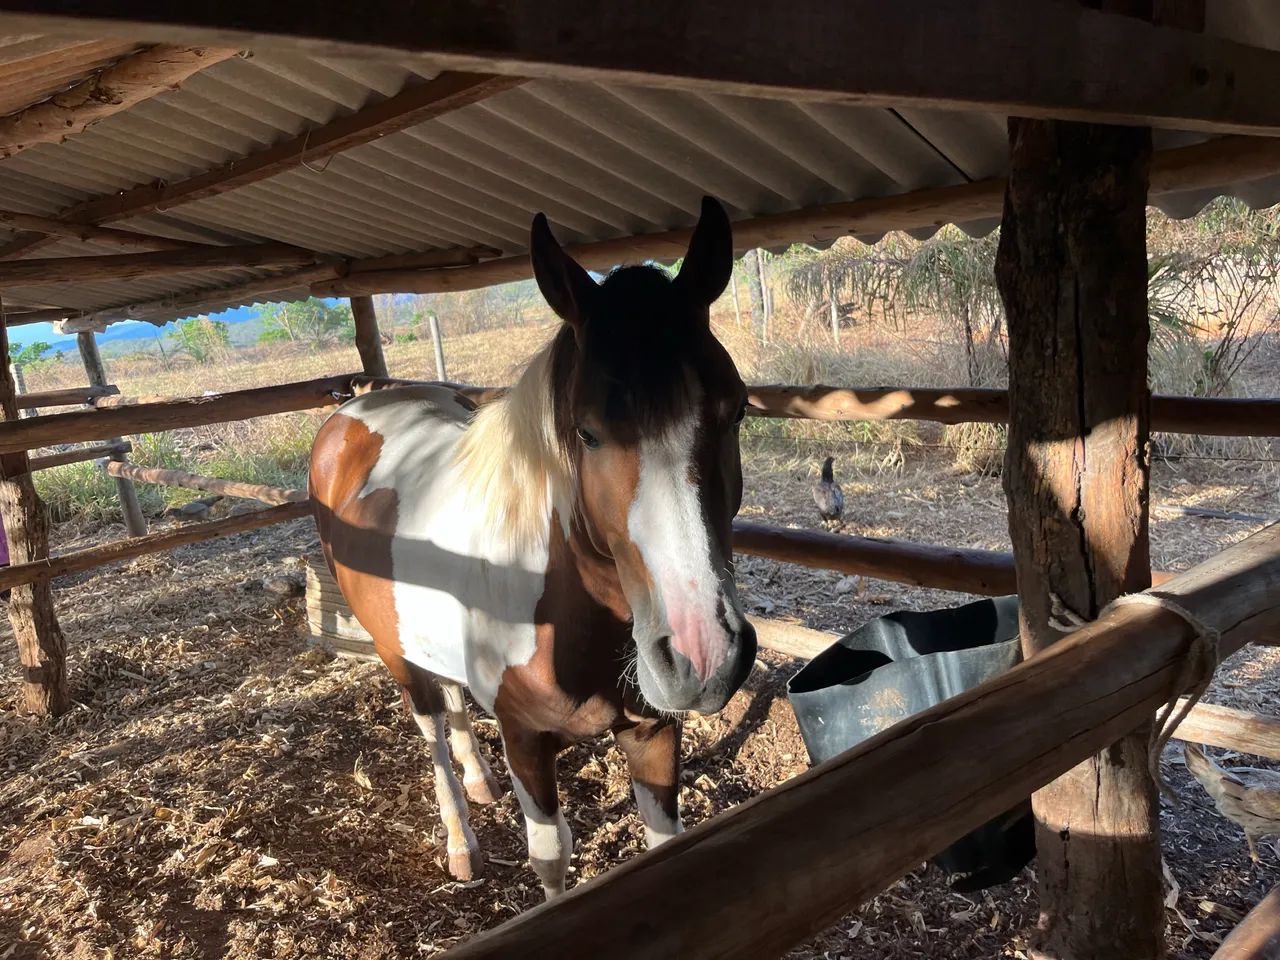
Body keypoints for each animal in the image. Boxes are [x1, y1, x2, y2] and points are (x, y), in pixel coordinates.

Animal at [309, 196, 757, 899]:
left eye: (735, 411)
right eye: (588, 433)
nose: (701, 656)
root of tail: (352, 414)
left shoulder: (656, 731)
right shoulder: (525, 739)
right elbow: (551, 858)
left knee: (455, 704)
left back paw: (478, 781)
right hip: (394, 653)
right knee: (432, 731)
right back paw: (461, 839)